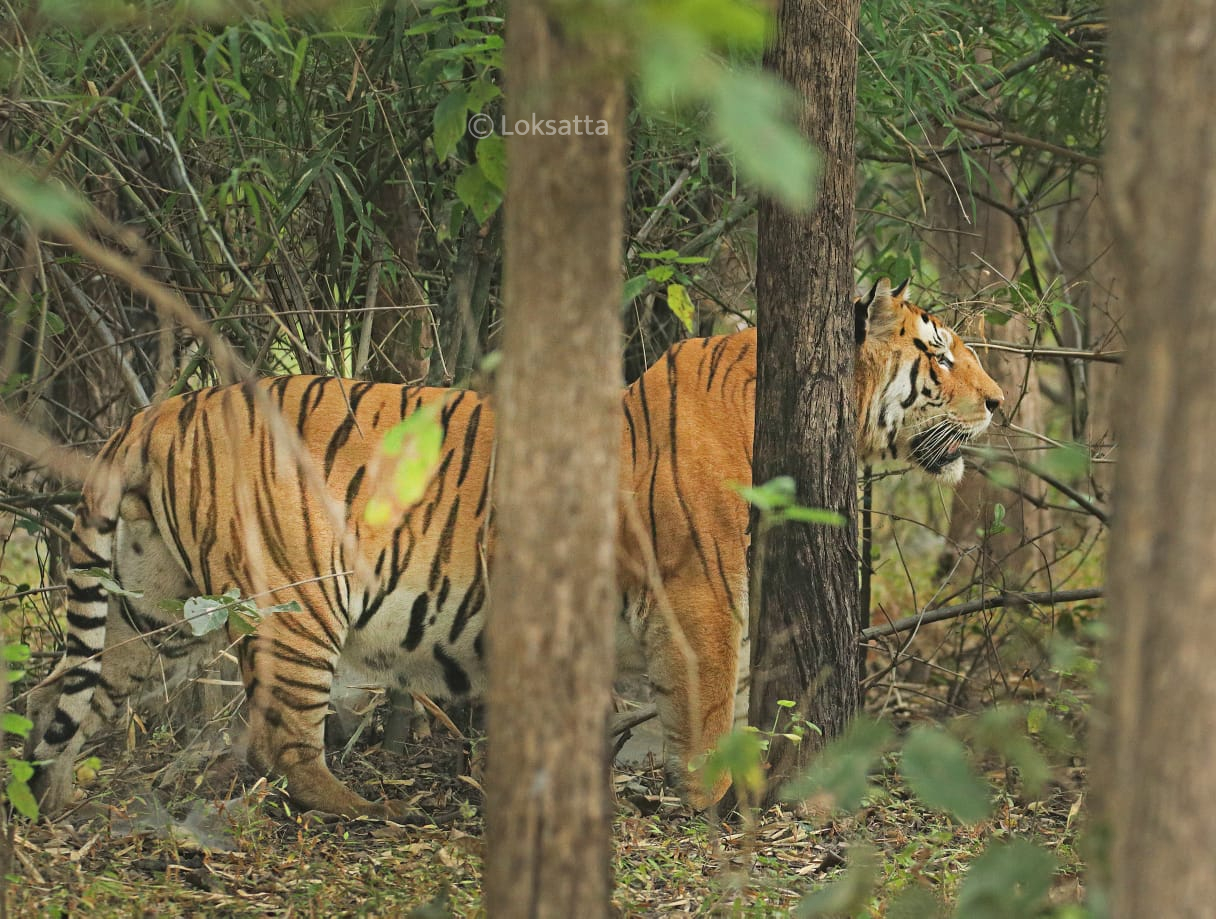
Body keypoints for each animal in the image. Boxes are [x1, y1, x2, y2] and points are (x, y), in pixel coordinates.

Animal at [23, 274, 1001, 816]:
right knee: (278, 735)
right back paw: (355, 808)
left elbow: (671, 711)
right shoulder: (701, 598)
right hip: (298, 597)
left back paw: (49, 802)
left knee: (60, 700)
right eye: (941, 356)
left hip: (146, 613)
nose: (998, 401)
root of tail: (162, 410)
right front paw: (715, 800)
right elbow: (711, 709)